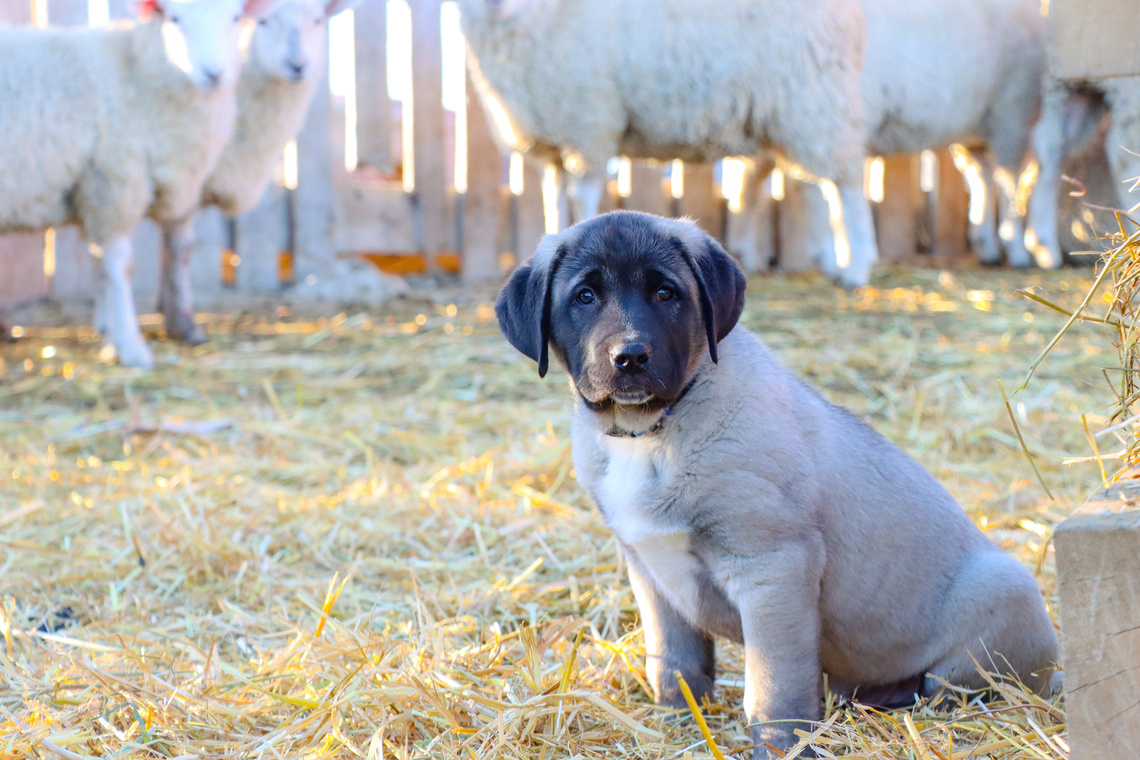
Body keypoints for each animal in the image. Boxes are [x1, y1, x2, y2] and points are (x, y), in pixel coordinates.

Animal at [0, 0, 273, 369]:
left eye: (235, 18)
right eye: (175, 18)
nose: (213, 74)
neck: (137, 74)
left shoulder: (92, 186)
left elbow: (101, 265)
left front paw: (109, 335)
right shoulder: (113, 179)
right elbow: (119, 265)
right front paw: (131, 347)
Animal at [153, 0, 351, 341]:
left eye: (317, 20)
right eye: (263, 22)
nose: (297, 65)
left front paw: (165, 309)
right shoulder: (182, 179)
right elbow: (179, 250)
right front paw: (183, 323)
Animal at [458, 0, 875, 289]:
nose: (495, 2)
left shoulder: (589, 124)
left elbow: (582, 200)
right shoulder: (556, 141)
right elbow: (553, 203)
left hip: (814, 101)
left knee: (847, 185)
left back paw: (856, 268)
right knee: (819, 187)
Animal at [497, 210, 1057, 756]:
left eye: (666, 293)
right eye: (584, 297)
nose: (630, 357)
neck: (651, 431)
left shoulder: (771, 568)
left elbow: (773, 690)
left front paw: (782, 747)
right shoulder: (651, 572)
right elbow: (675, 664)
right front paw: (678, 725)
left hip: (999, 597)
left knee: (954, 687)